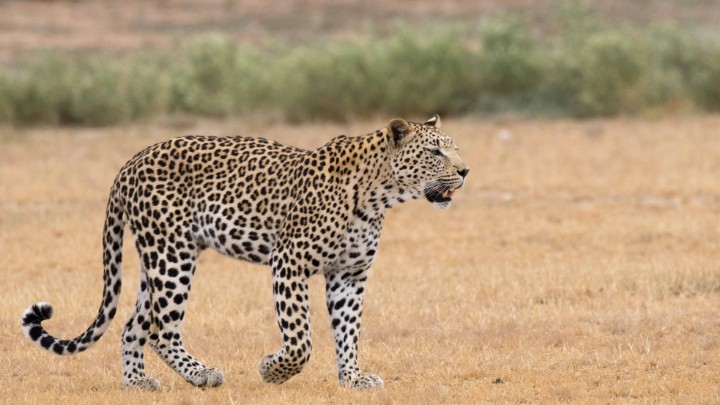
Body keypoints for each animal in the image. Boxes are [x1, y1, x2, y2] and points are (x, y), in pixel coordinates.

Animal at [21, 115, 469, 390]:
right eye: (435, 153)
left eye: (454, 149)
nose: (465, 171)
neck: (379, 195)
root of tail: (129, 162)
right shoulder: (289, 261)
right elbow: (300, 338)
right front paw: (272, 370)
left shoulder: (349, 275)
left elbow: (348, 330)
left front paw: (353, 378)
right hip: (172, 255)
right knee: (162, 329)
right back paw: (202, 375)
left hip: (158, 259)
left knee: (135, 325)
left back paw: (138, 383)